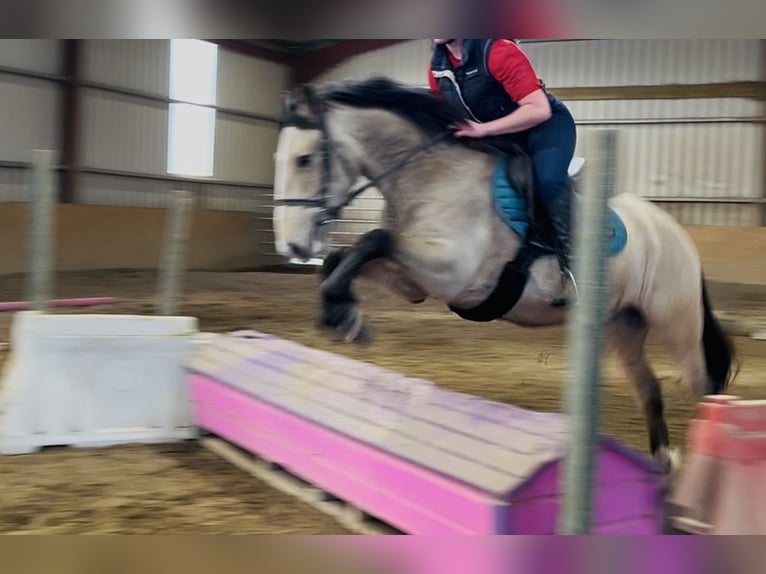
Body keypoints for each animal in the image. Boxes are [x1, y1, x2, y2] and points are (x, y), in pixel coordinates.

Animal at [271, 76, 737, 474]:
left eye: (304, 159)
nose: (291, 247)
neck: (433, 176)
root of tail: (674, 232)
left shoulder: (451, 273)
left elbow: (374, 238)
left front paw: (341, 313)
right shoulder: (413, 282)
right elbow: (346, 258)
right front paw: (342, 312)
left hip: (676, 322)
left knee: (705, 383)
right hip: (623, 324)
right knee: (651, 389)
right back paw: (662, 462)